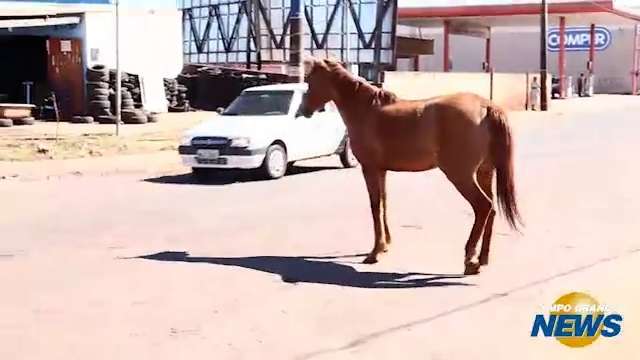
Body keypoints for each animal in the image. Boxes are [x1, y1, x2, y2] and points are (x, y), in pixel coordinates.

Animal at [300, 57, 520, 276]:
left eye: (311, 80)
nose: (304, 110)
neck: (366, 110)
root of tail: (486, 106)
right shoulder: (381, 170)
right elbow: (384, 204)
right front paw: (385, 245)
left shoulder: (369, 169)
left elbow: (375, 206)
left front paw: (375, 252)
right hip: (485, 172)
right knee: (491, 210)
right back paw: (482, 258)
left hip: (461, 176)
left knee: (483, 207)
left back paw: (469, 260)